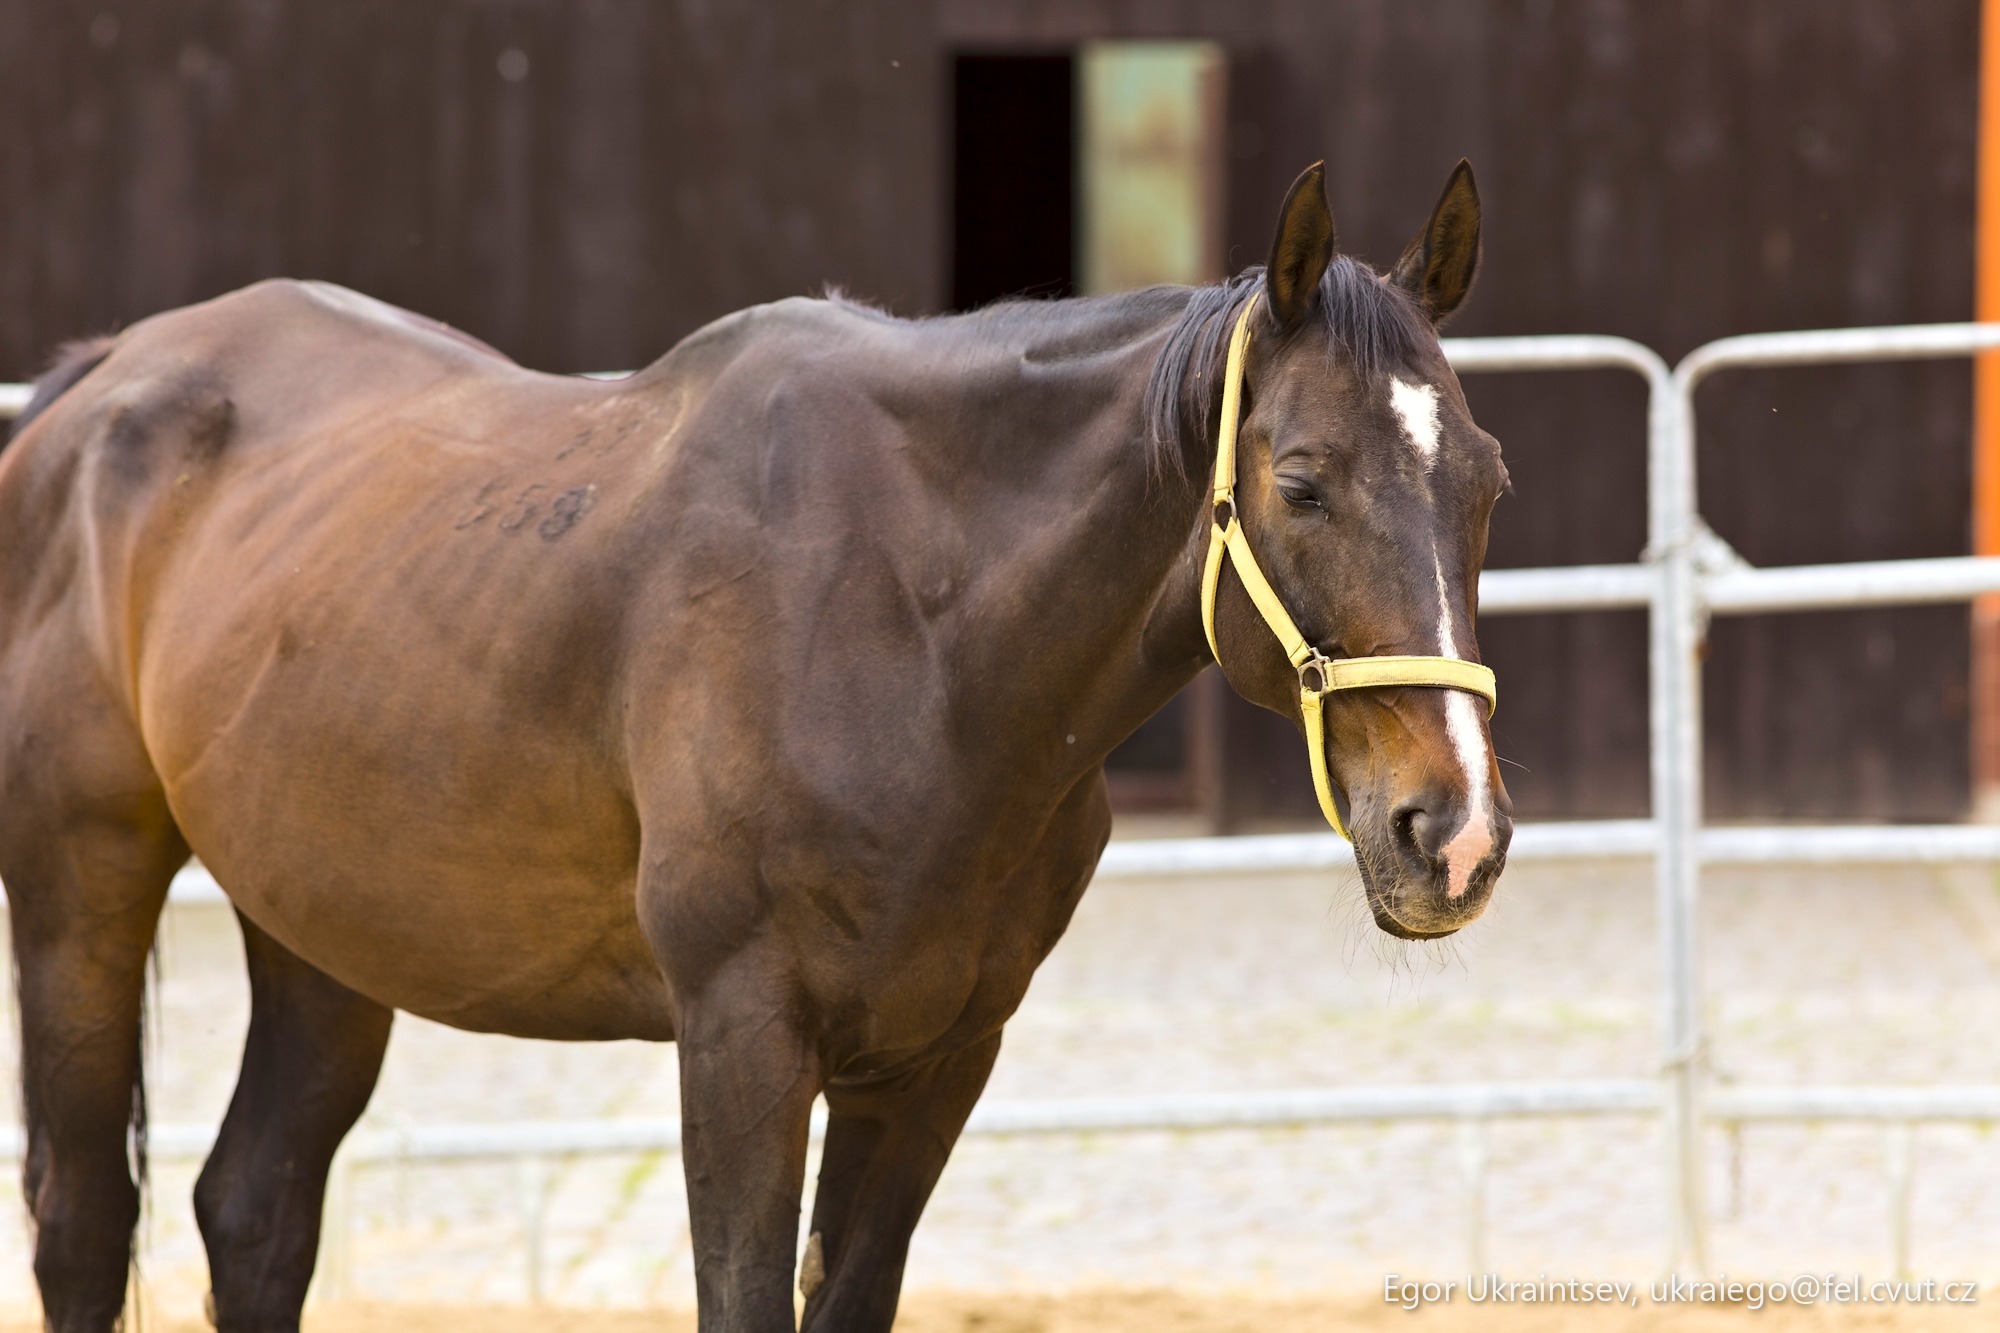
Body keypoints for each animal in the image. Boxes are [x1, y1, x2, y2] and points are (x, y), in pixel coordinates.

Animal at [0, 160, 1511, 1333]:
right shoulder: (739, 1037)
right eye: (1301, 483)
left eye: (1487, 481)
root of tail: (91, 390)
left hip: (322, 926)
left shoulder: (937, 1060)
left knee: (253, 1210)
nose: (1454, 834)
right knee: (85, 1217)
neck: (912, 628)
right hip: (82, 891)